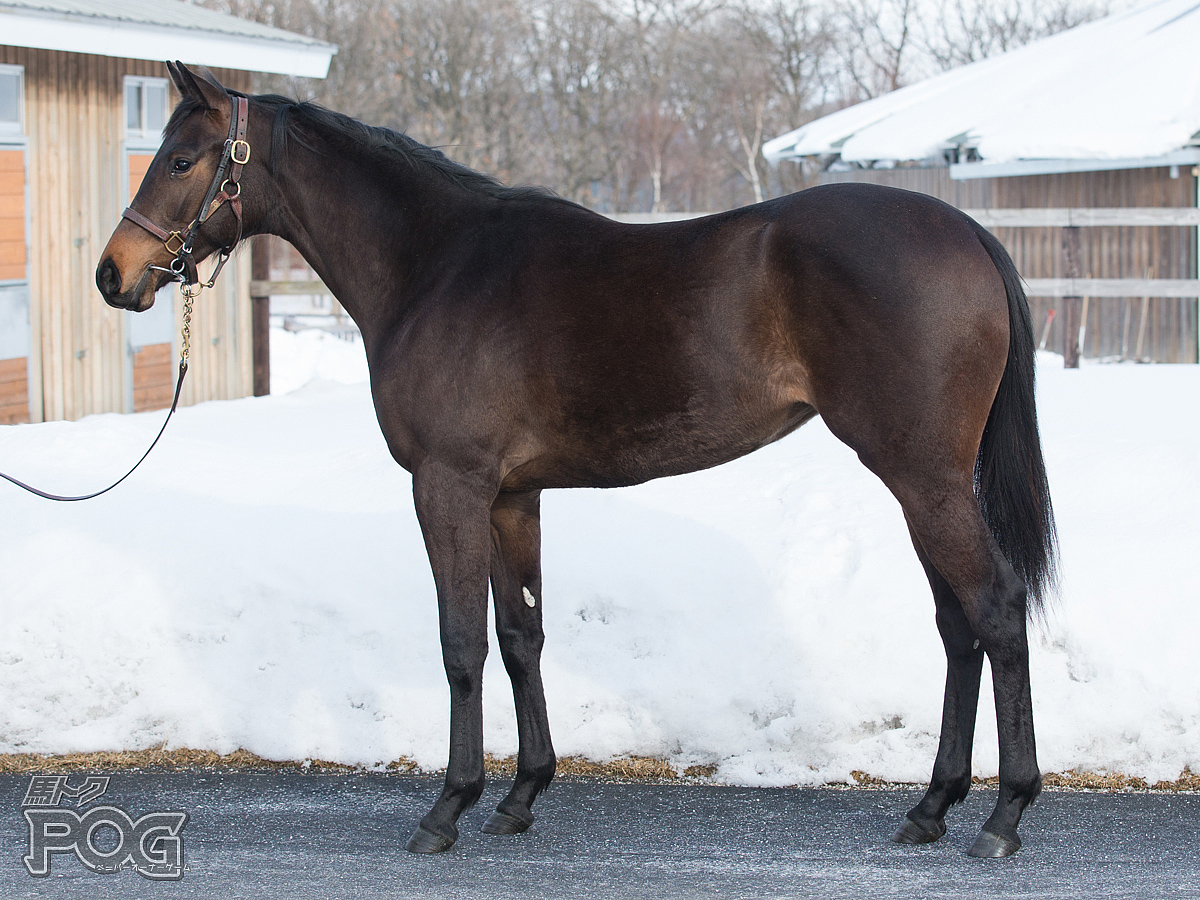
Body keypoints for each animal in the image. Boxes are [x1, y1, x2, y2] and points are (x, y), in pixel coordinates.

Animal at [98, 61, 1056, 859]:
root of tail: (968, 233)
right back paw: (930, 808)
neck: (435, 267)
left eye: (180, 159)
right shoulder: (511, 497)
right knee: (958, 627)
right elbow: (521, 635)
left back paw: (1005, 816)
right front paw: (521, 796)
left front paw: (447, 809)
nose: (114, 274)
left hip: (924, 479)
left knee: (996, 611)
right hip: (921, 484)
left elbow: (460, 643)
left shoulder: (447, 485)